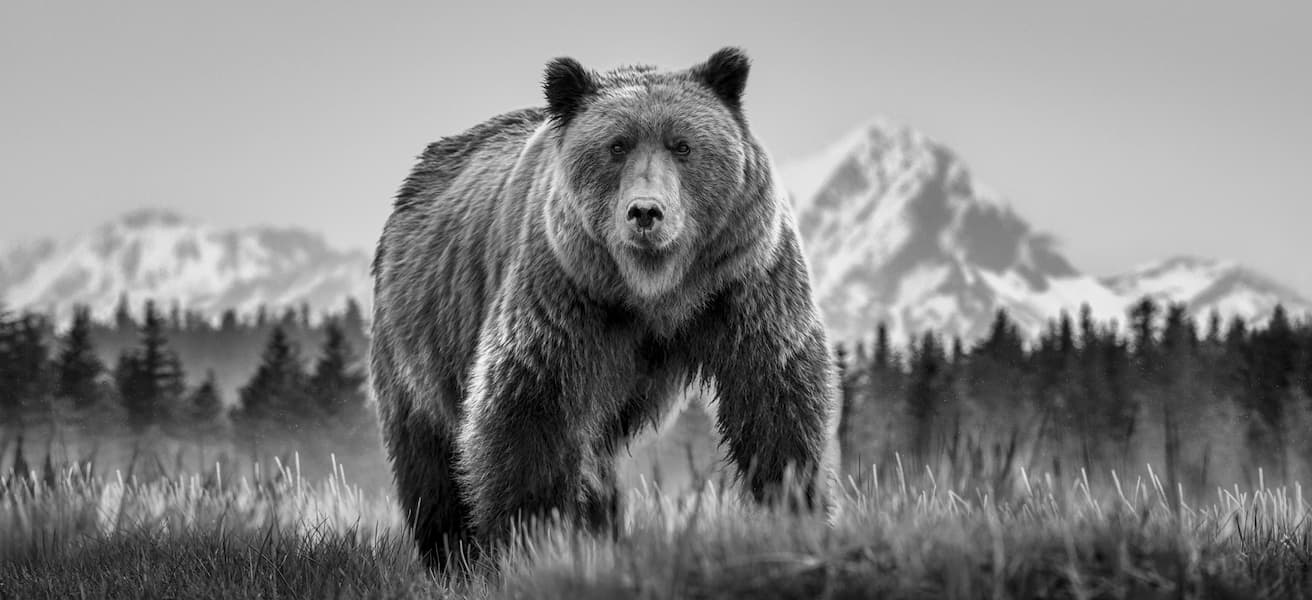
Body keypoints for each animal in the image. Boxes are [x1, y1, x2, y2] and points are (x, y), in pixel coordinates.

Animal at [370, 47, 836, 570]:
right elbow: (529, 407)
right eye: (617, 146)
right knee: (429, 453)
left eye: (683, 145)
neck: (654, 289)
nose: (646, 211)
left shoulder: (744, 275)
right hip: (418, 333)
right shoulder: (565, 286)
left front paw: (793, 510)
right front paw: (532, 538)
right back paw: (451, 553)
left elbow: (774, 395)